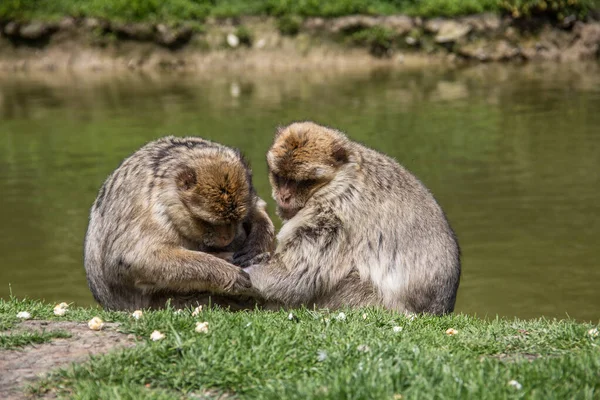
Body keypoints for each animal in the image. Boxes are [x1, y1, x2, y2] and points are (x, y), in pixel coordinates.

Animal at [84, 136, 274, 310]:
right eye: (208, 222)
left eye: (236, 220)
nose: (226, 238)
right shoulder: (147, 209)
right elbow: (135, 259)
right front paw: (227, 273)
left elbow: (258, 207)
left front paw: (256, 244)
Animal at [246, 122, 462, 316]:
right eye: (280, 177)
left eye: (301, 182)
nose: (284, 196)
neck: (339, 176)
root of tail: (439, 309)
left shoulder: (332, 211)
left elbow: (300, 275)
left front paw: (248, 274)